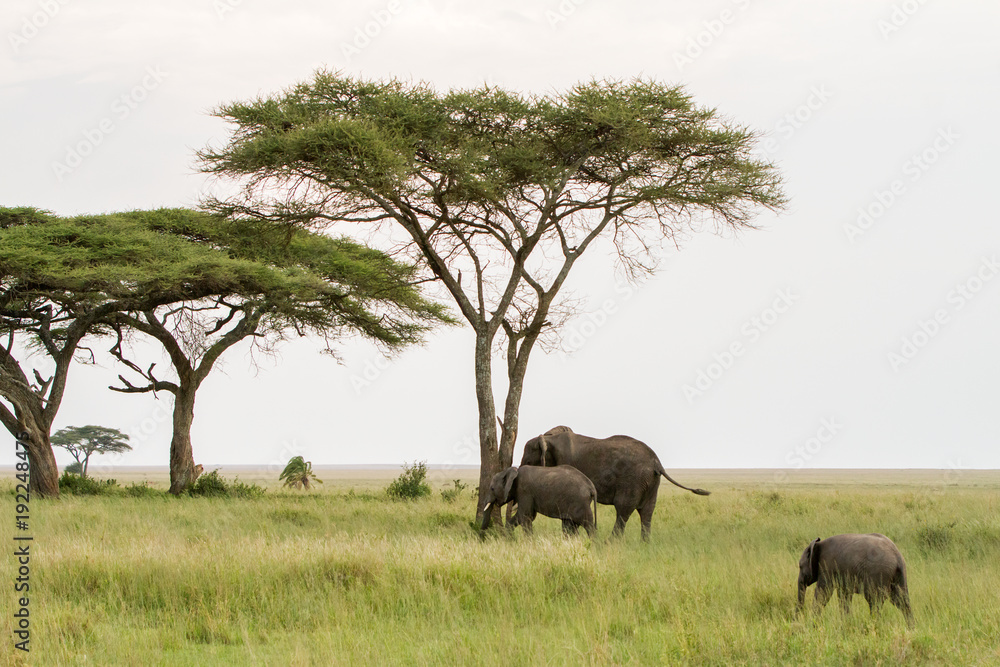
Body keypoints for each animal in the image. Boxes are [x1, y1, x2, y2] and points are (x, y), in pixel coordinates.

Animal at [519, 426, 709, 541]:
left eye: (528, 460)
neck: (549, 438)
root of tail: (657, 463)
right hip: (651, 483)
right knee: (647, 512)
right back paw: (644, 544)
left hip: (634, 480)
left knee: (623, 509)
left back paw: (610, 543)